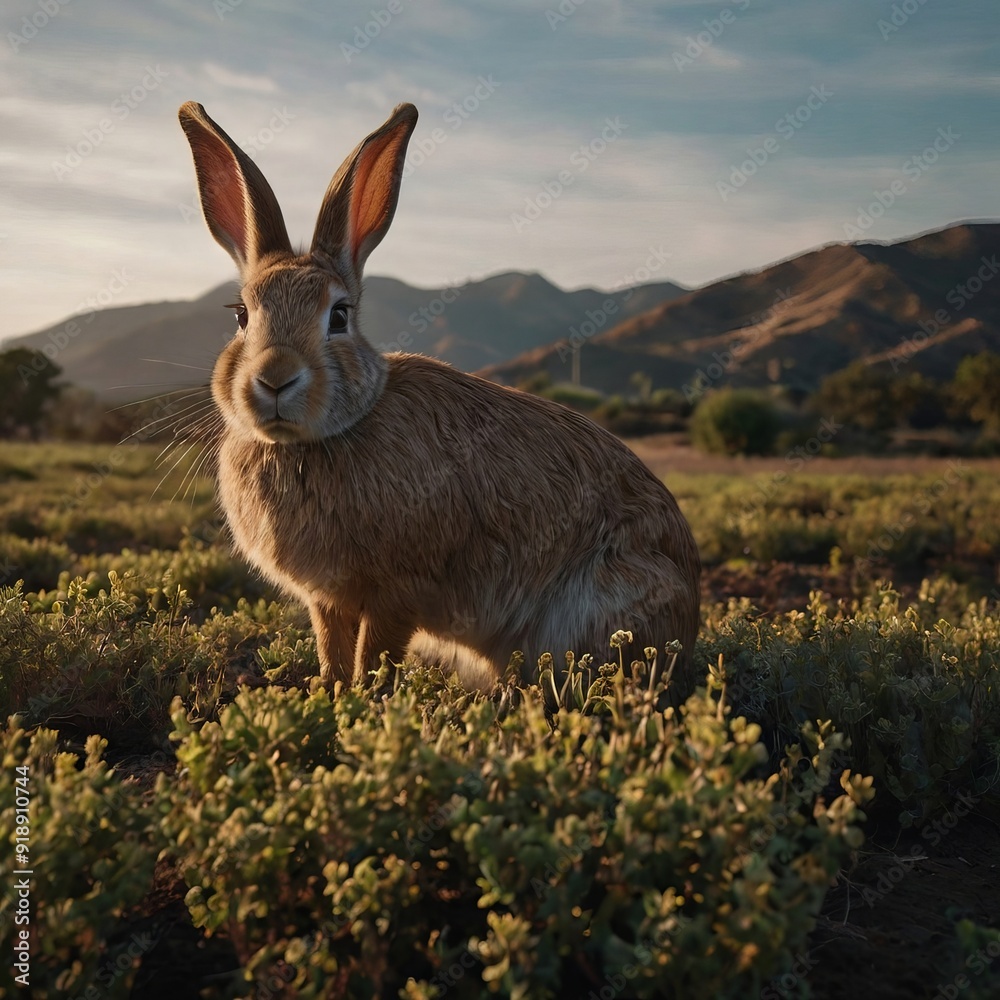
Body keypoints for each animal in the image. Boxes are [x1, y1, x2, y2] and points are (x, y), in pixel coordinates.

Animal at [177, 100, 701, 695]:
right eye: (241, 315)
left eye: (339, 316)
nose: (274, 379)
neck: (319, 440)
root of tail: (689, 619)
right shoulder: (327, 600)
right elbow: (333, 650)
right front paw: (329, 693)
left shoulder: (400, 591)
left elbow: (375, 655)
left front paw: (364, 699)